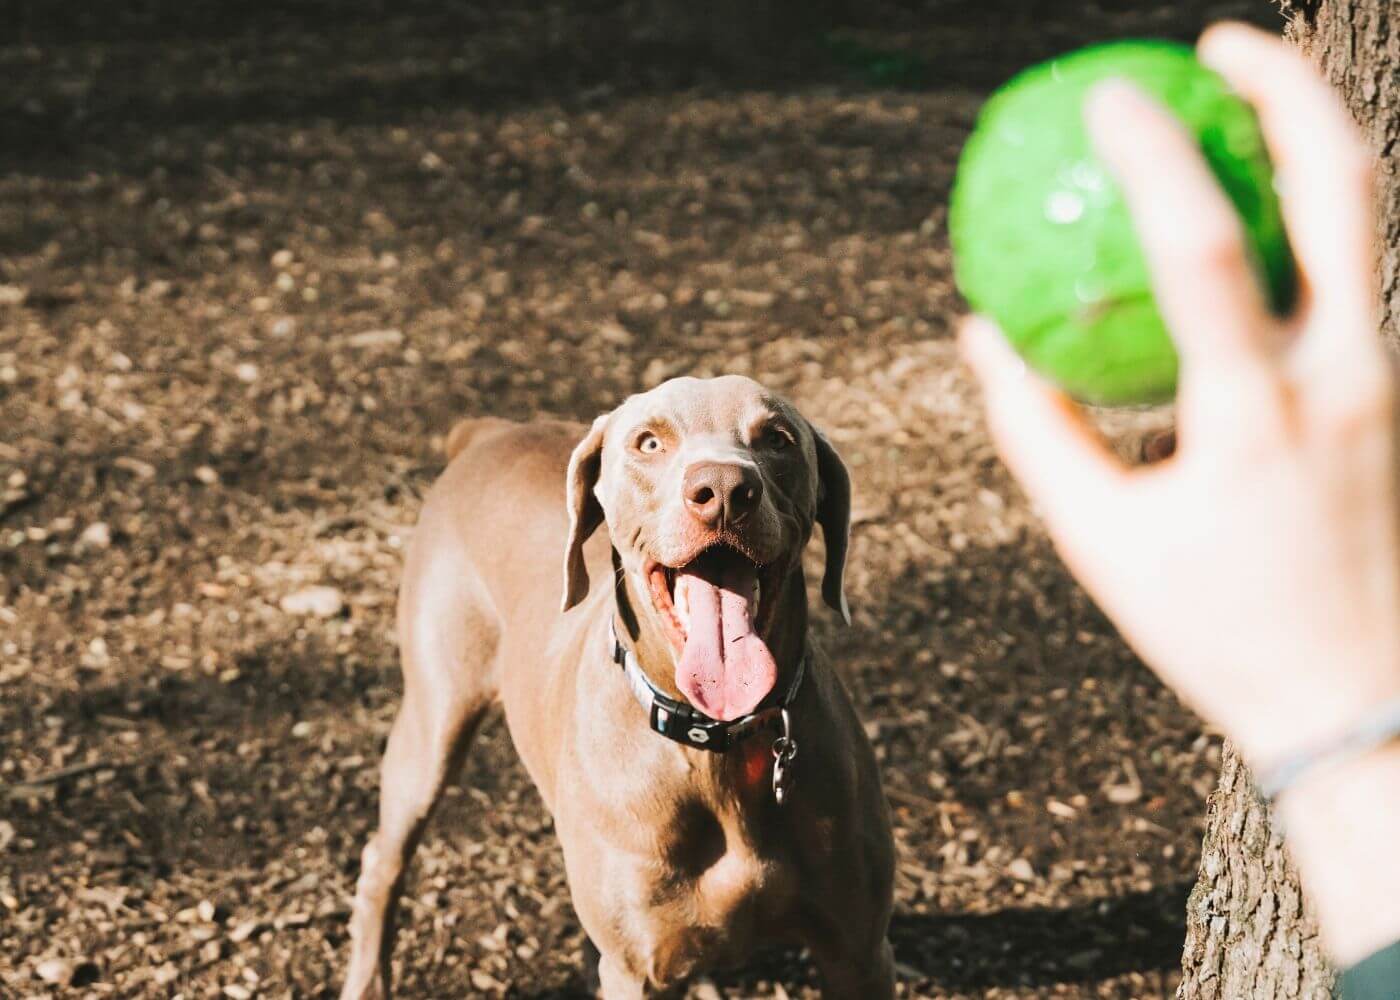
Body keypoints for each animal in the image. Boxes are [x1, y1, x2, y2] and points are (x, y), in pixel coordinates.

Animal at [336, 375, 896, 997]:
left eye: (778, 439)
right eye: (648, 442)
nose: (725, 490)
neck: (716, 744)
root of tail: (489, 434)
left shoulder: (860, 953)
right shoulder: (637, 969)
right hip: (433, 721)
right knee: (382, 861)